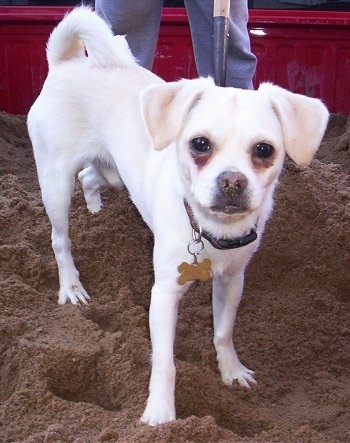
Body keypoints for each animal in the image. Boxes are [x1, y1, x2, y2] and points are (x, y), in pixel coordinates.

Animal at [27, 6, 328, 426]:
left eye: (265, 150)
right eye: (199, 144)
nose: (232, 180)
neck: (211, 230)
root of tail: (66, 62)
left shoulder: (233, 280)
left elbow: (223, 332)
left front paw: (231, 372)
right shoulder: (164, 293)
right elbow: (165, 360)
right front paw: (160, 414)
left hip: (112, 171)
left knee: (89, 176)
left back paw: (97, 212)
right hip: (54, 183)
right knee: (60, 238)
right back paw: (71, 286)